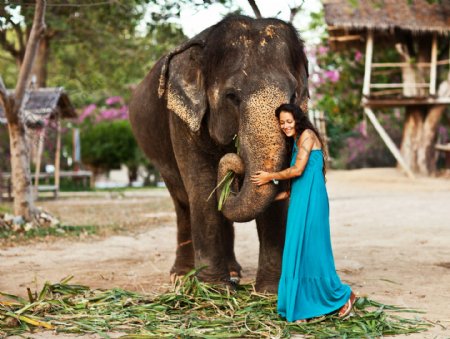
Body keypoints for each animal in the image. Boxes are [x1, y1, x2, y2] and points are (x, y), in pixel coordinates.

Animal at [128, 14, 308, 294]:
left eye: (293, 95)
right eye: (232, 96)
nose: (236, 163)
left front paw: (270, 292)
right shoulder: (181, 118)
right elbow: (202, 186)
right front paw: (214, 289)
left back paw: (233, 272)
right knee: (182, 203)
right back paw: (181, 276)